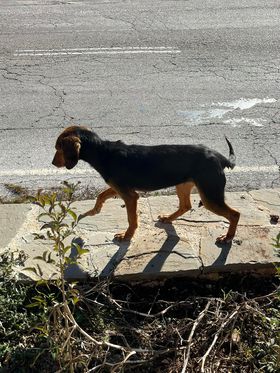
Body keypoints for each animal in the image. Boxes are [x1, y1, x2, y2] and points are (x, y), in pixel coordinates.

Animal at [51, 125, 240, 241]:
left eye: (58, 148)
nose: (52, 163)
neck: (102, 152)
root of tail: (219, 157)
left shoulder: (129, 195)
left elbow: (131, 219)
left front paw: (127, 236)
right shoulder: (119, 188)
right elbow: (101, 195)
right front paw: (94, 210)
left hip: (209, 195)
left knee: (235, 214)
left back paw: (227, 238)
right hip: (183, 185)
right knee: (185, 205)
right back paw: (168, 218)